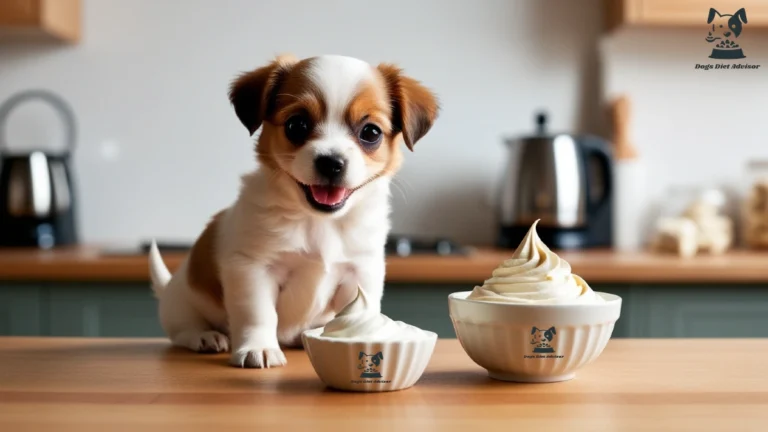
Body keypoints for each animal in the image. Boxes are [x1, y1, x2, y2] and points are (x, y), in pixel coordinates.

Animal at [148, 54, 438, 368]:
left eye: (371, 132)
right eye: (296, 125)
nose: (331, 162)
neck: (320, 223)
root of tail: (169, 287)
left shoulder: (360, 274)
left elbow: (360, 314)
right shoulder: (252, 269)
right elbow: (258, 314)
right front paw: (259, 348)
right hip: (184, 305)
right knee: (182, 331)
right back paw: (206, 337)